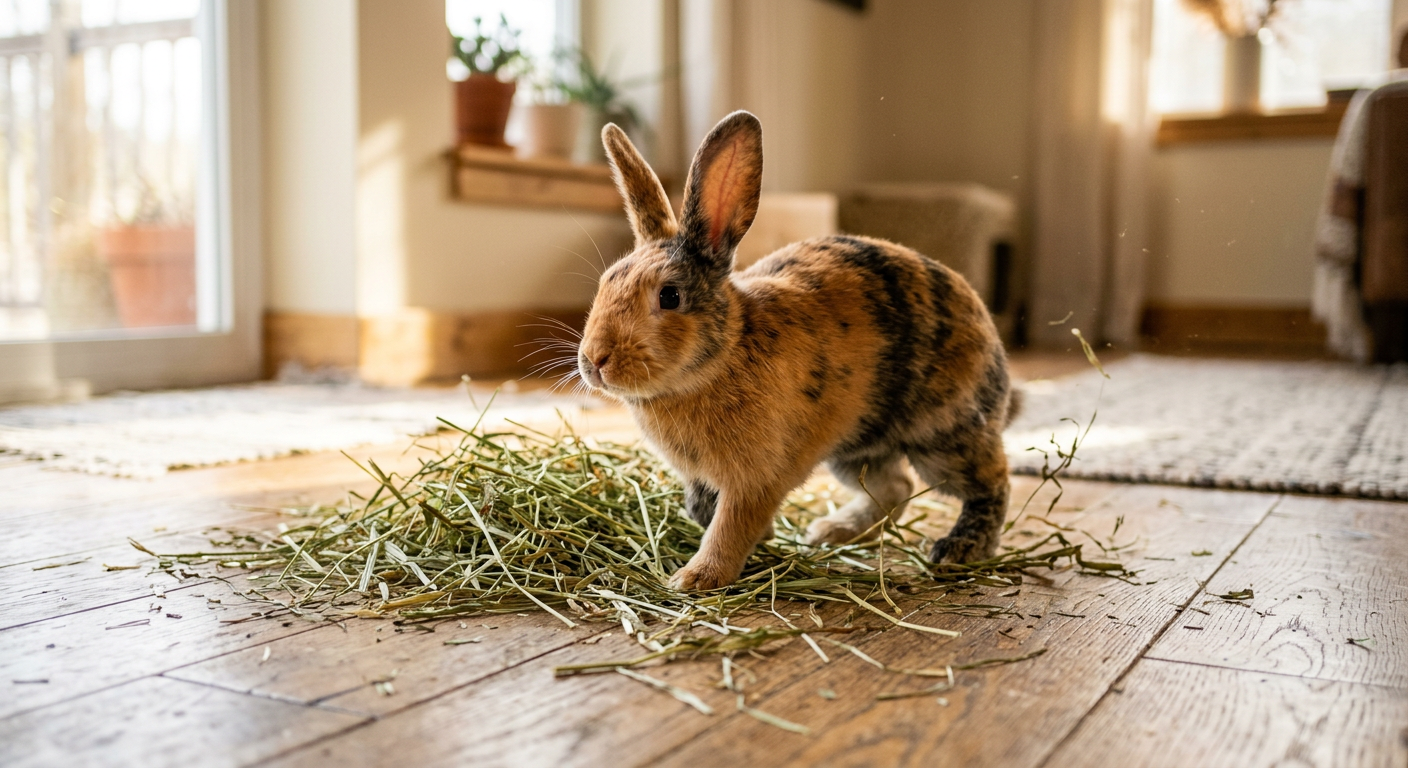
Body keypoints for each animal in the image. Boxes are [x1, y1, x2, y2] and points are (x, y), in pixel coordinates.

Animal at [578, 111, 1018, 591]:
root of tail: (989, 332)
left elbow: (730, 527)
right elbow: (703, 510)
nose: (595, 361)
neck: (724, 353)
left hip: (943, 436)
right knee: (895, 490)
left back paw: (958, 549)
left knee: (991, 484)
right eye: (605, 282)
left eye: (670, 296)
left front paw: (696, 579)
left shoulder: (754, 479)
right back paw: (831, 531)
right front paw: (760, 538)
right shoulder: (700, 478)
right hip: (855, 447)